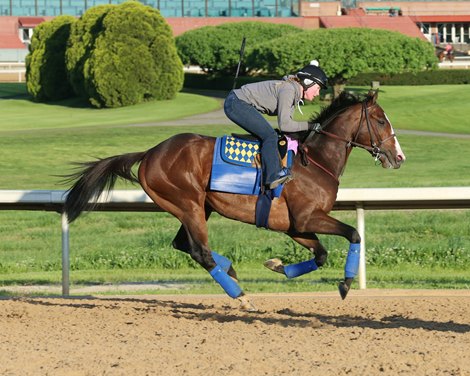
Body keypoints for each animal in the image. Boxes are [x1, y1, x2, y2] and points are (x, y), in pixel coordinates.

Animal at [64, 91, 406, 312]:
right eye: (380, 121)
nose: (399, 157)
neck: (316, 161)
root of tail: (150, 153)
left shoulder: (294, 225)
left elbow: (320, 255)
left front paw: (277, 265)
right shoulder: (308, 217)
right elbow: (354, 234)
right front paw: (346, 284)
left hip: (198, 207)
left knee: (184, 245)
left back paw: (230, 269)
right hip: (187, 203)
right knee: (200, 252)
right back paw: (241, 295)